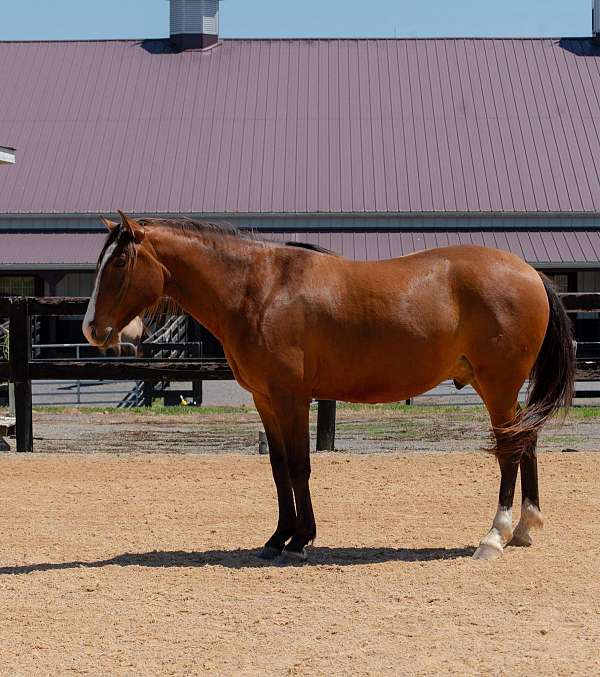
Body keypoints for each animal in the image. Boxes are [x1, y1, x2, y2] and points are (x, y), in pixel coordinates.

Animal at [82, 214, 576, 564]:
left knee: (510, 450)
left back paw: (494, 536)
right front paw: (277, 537)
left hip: (498, 384)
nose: (91, 329)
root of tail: (531, 273)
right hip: (503, 389)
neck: (259, 289)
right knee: (526, 441)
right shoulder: (265, 399)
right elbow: (278, 468)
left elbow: (299, 466)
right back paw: (525, 528)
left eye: (120, 261)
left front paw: (300, 539)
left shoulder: (292, 398)